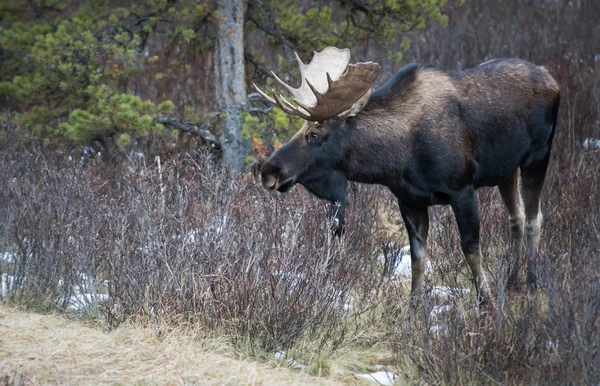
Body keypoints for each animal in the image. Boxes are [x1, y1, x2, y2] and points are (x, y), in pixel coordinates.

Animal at [253, 46, 556, 304]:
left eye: (314, 134)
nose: (268, 171)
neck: (396, 158)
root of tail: (552, 78)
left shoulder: (462, 190)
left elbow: (470, 249)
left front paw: (487, 303)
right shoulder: (410, 200)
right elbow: (417, 258)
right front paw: (413, 310)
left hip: (538, 156)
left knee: (534, 218)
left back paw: (532, 284)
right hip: (506, 170)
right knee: (516, 217)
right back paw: (512, 281)